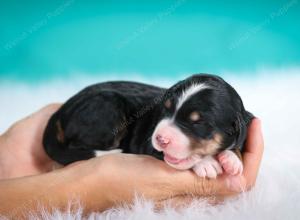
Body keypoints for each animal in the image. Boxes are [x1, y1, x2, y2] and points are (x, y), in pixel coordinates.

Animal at [42, 74, 253, 179]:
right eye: (166, 109)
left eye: (198, 122)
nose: (161, 138)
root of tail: (61, 110)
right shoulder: (146, 142)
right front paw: (207, 163)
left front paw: (232, 159)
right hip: (108, 106)